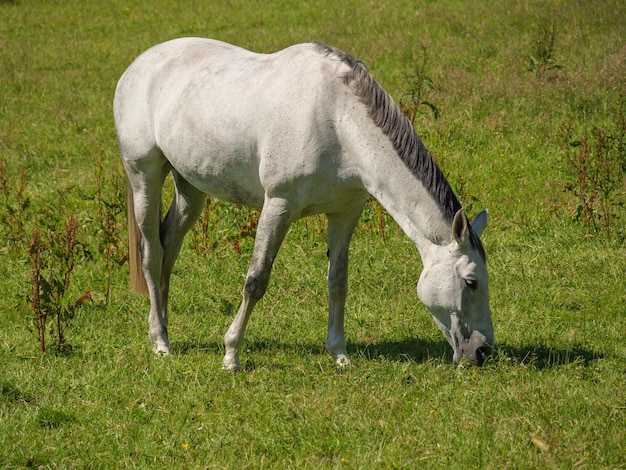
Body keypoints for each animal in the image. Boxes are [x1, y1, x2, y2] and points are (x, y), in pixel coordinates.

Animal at [113, 38, 492, 370]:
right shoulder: (278, 205)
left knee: (168, 250)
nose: (483, 351)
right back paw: (160, 342)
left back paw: (164, 327)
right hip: (144, 175)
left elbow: (338, 281)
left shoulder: (345, 212)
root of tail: (138, 65)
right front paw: (231, 354)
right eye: (471, 282)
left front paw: (339, 354)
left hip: (190, 191)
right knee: (152, 256)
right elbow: (256, 280)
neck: (336, 119)